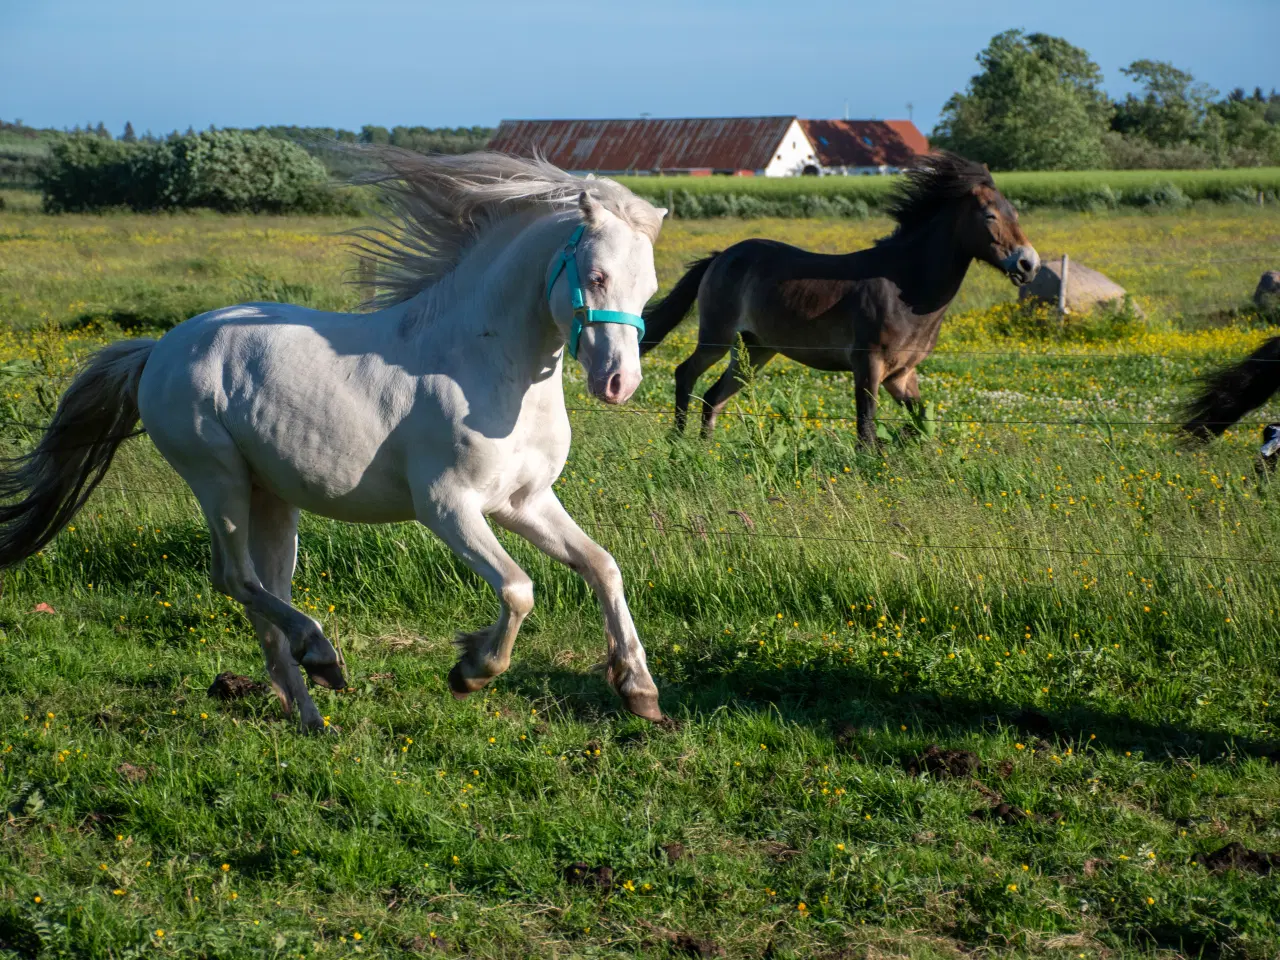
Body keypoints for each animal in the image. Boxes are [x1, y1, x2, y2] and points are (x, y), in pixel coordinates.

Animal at [0, 154, 675, 732]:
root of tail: (158, 348)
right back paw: (323, 657)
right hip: (217, 479)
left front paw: (639, 689)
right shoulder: (448, 506)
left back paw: (310, 711)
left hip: (272, 498)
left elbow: (602, 566)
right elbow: (518, 588)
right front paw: (470, 671)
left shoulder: (524, 502)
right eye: (596, 276)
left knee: (264, 595)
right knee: (234, 578)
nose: (619, 383)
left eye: (649, 287)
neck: (485, 365)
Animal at [640, 152, 1039, 445]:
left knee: (713, 397)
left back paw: (705, 448)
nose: (1028, 263)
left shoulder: (902, 374)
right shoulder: (868, 365)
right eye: (990, 216)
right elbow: (866, 425)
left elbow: (921, 420)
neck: (905, 288)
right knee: (686, 374)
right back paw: (677, 443)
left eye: (1016, 213)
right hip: (717, 338)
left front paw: (903, 441)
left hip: (756, 351)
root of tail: (721, 256)